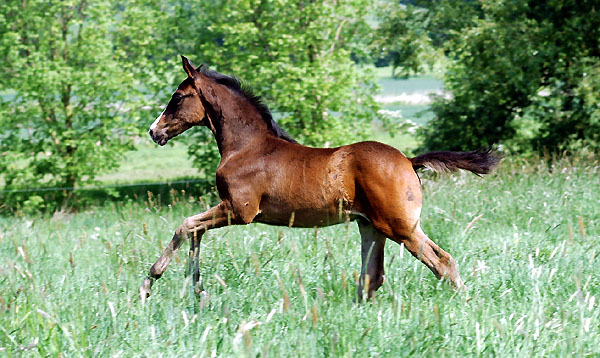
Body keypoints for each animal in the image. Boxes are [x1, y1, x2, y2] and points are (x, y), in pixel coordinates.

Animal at [138, 56, 500, 302]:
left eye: (177, 97)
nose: (155, 132)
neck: (246, 147)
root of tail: (409, 161)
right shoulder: (230, 210)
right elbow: (194, 232)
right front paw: (196, 289)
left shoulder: (240, 210)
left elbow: (186, 225)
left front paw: (150, 282)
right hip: (372, 226)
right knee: (374, 277)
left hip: (400, 227)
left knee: (441, 262)